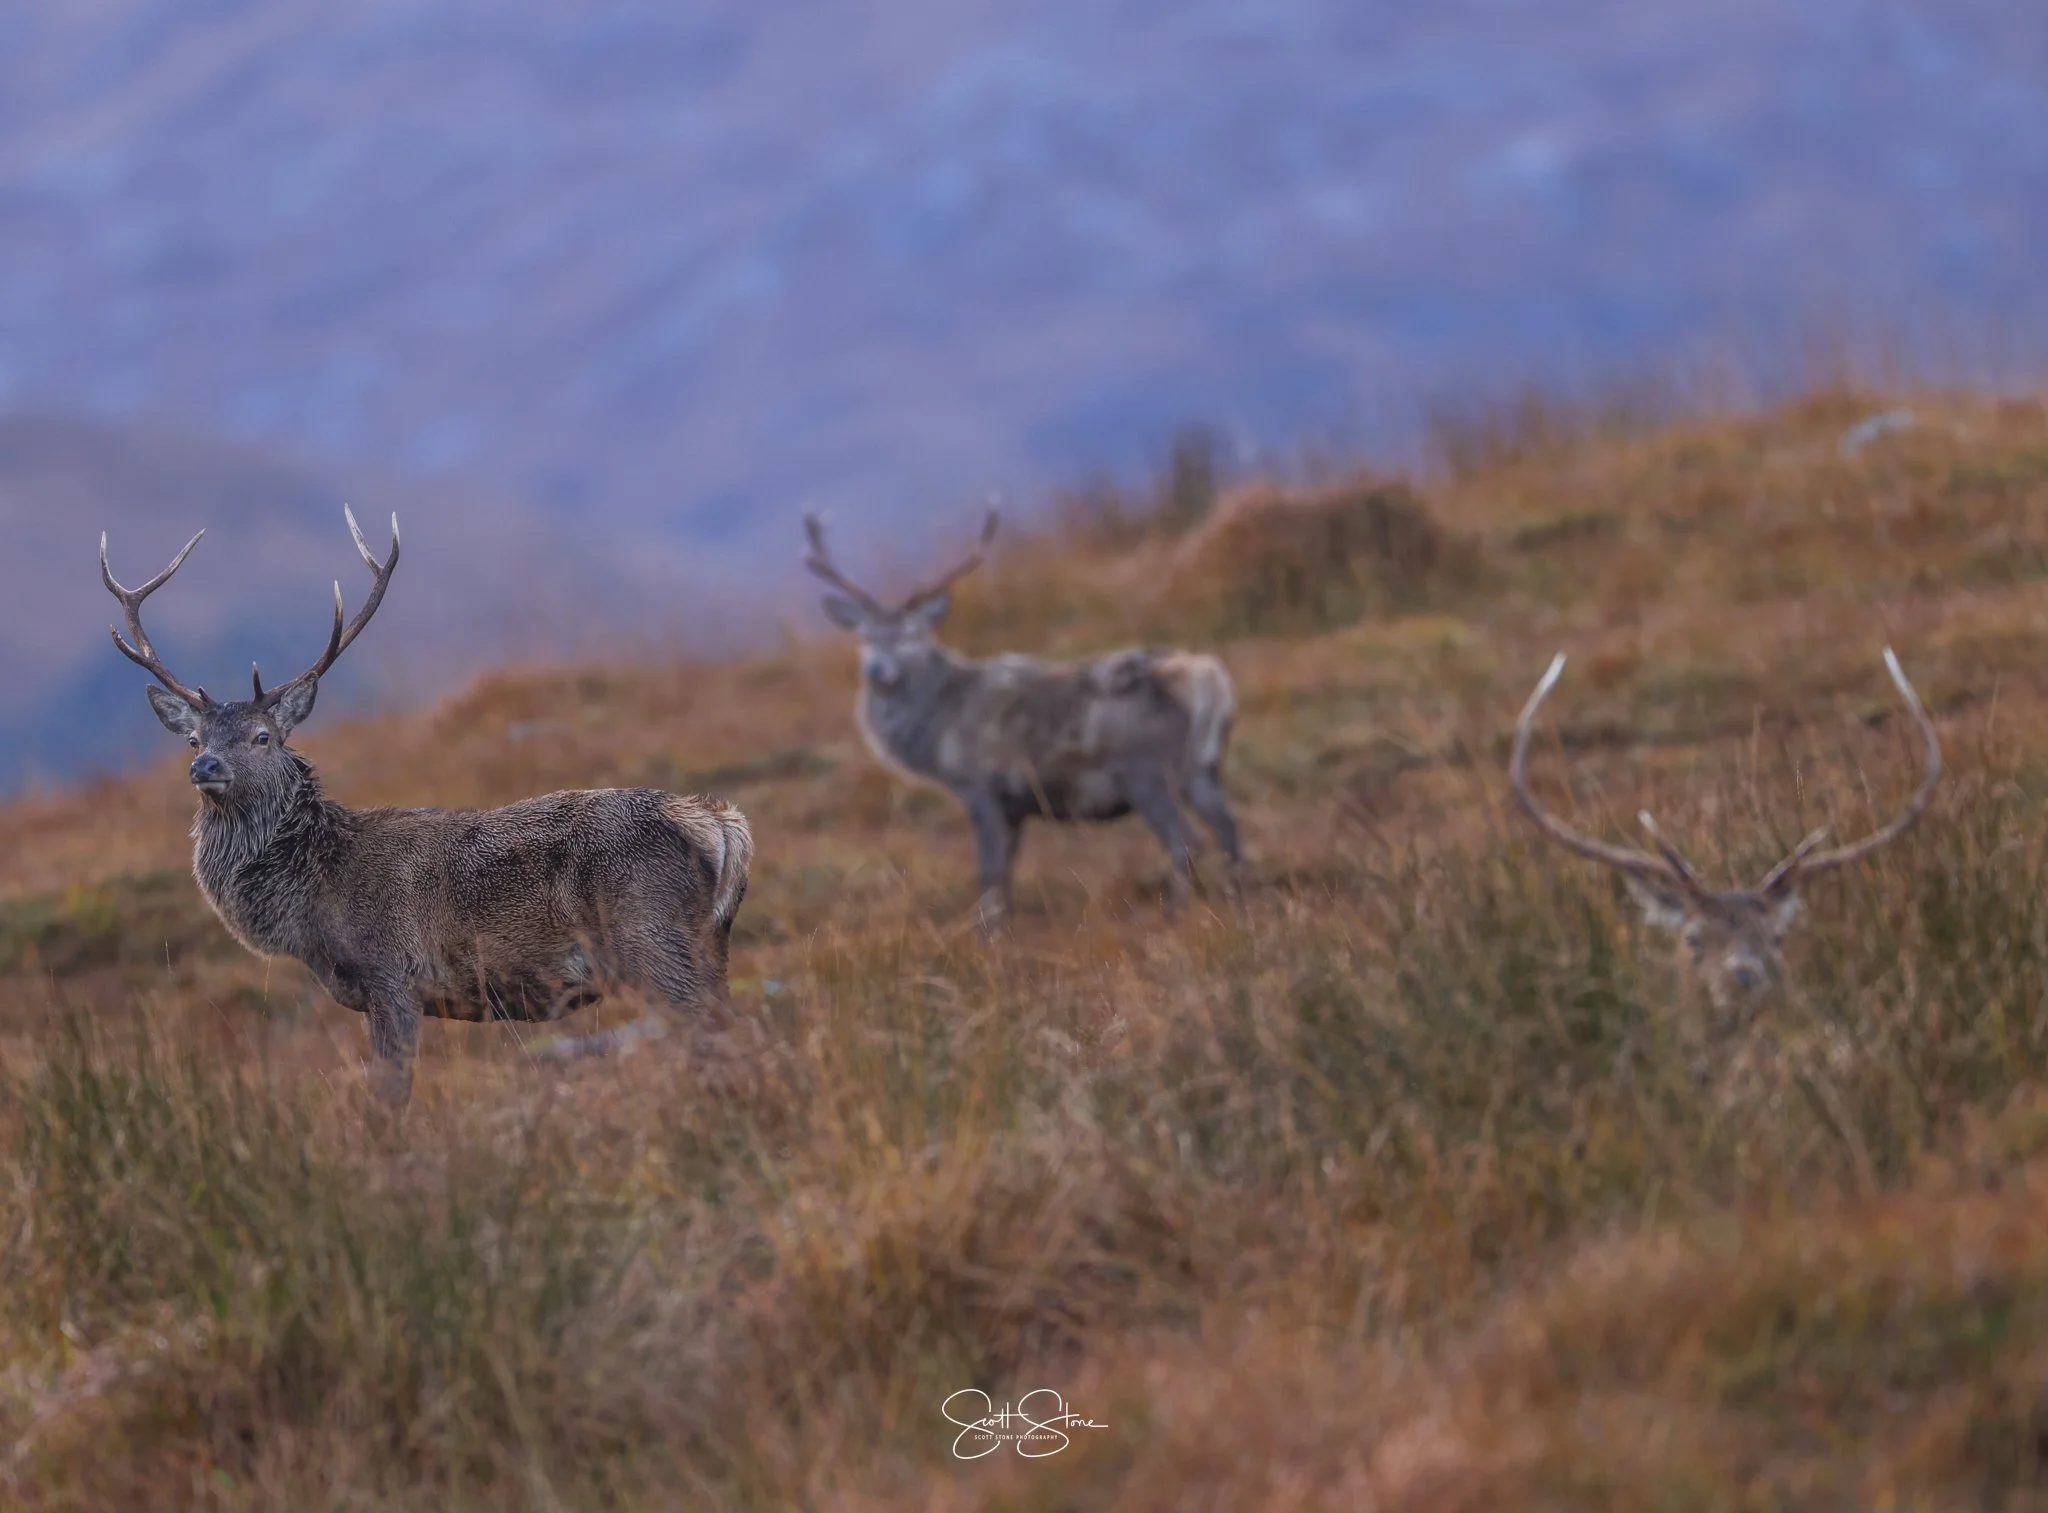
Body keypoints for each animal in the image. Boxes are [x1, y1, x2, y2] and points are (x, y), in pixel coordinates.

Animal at [101, 509, 752, 1114]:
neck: (314, 905)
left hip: (653, 941)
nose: (205, 767)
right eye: (194, 739)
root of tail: (718, 825)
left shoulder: (392, 976)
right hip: (705, 948)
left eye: (263, 737)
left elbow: (390, 1101)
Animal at [802, 509, 1243, 928]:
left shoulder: (978, 786)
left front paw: (988, 937)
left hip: (1144, 769)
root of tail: (1205, 679)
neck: (937, 735)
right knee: (1229, 829)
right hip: (1202, 767)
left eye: (912, 635)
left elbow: (989, 874)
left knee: (1186, 840)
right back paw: (1241, 902)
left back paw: (1176, 914)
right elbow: (1006, 876)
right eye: (865, 637)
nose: (876, 671)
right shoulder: (1015, 807)